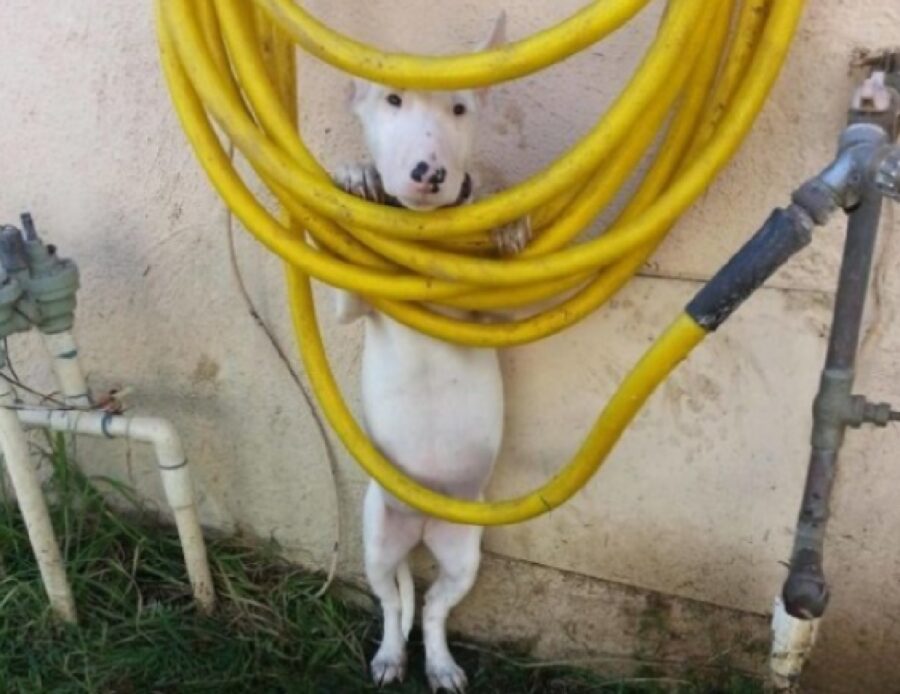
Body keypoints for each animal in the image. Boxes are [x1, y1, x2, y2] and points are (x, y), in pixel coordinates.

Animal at [330, 13, 528, 692]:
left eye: (460, 108)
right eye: (392, 100)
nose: (429, 172)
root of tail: (419, 523)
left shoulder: (494, 318)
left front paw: (508, 224)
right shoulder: (351, 307)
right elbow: (342, 292)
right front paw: (354, 176)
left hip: (466, 546)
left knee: (437, 606)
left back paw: (440, 665)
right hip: (375, 532)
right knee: (393, 601)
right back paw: (392, 656)